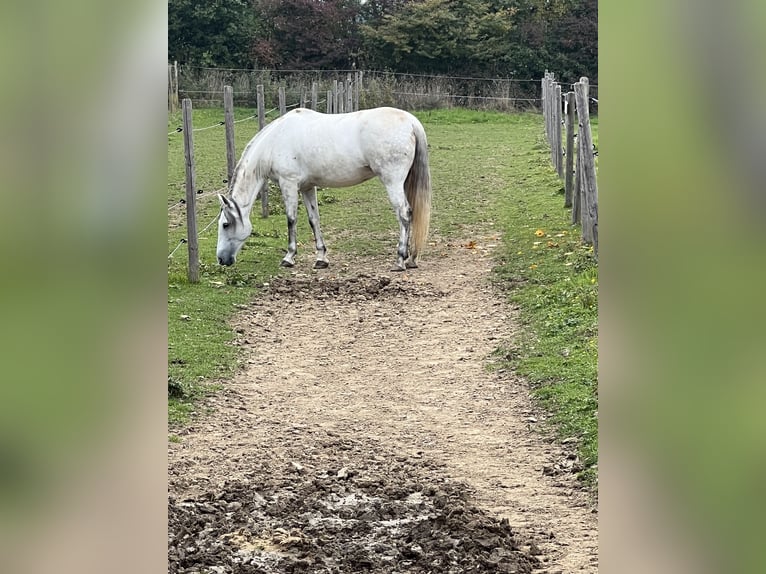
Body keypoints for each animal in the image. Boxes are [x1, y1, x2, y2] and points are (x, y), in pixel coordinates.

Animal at [216, 107, 432, 272]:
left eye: (225, 224)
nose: (221, 259)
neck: (275, 140)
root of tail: (411, 122)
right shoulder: (307, 187)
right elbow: (314, 220)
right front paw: (321, 258)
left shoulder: (289, 184)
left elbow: (291, 220)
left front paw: (289, 257)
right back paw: (411, 259)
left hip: (392, 181)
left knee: (404, 214)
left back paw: (400, 260)